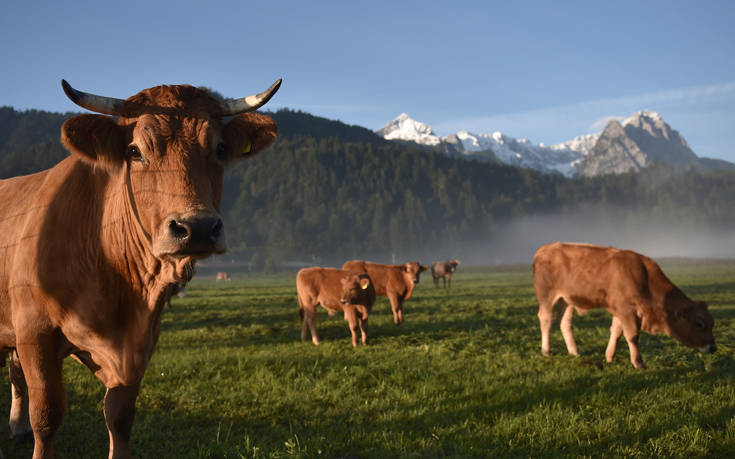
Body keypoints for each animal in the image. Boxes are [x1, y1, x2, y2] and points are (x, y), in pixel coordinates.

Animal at [0, 77, 280, 458]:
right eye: (135, 151)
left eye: (221, 149)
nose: (198, 228)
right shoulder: (34, 332)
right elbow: (47, 413)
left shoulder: (140, 342)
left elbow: (119, 417)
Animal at [532, 244, 716, 370]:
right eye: (699, 324)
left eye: (712, 323)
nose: (713, 348)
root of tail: (544, 249)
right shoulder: (626, 310)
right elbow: (632, 335)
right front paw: (638, 362)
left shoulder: (620, 310)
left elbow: (616, 332)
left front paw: (609, 356)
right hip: (546, 295)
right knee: (546, 319)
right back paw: (546, 350)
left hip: (567, 299)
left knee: (564, 321)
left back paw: (574, 351)